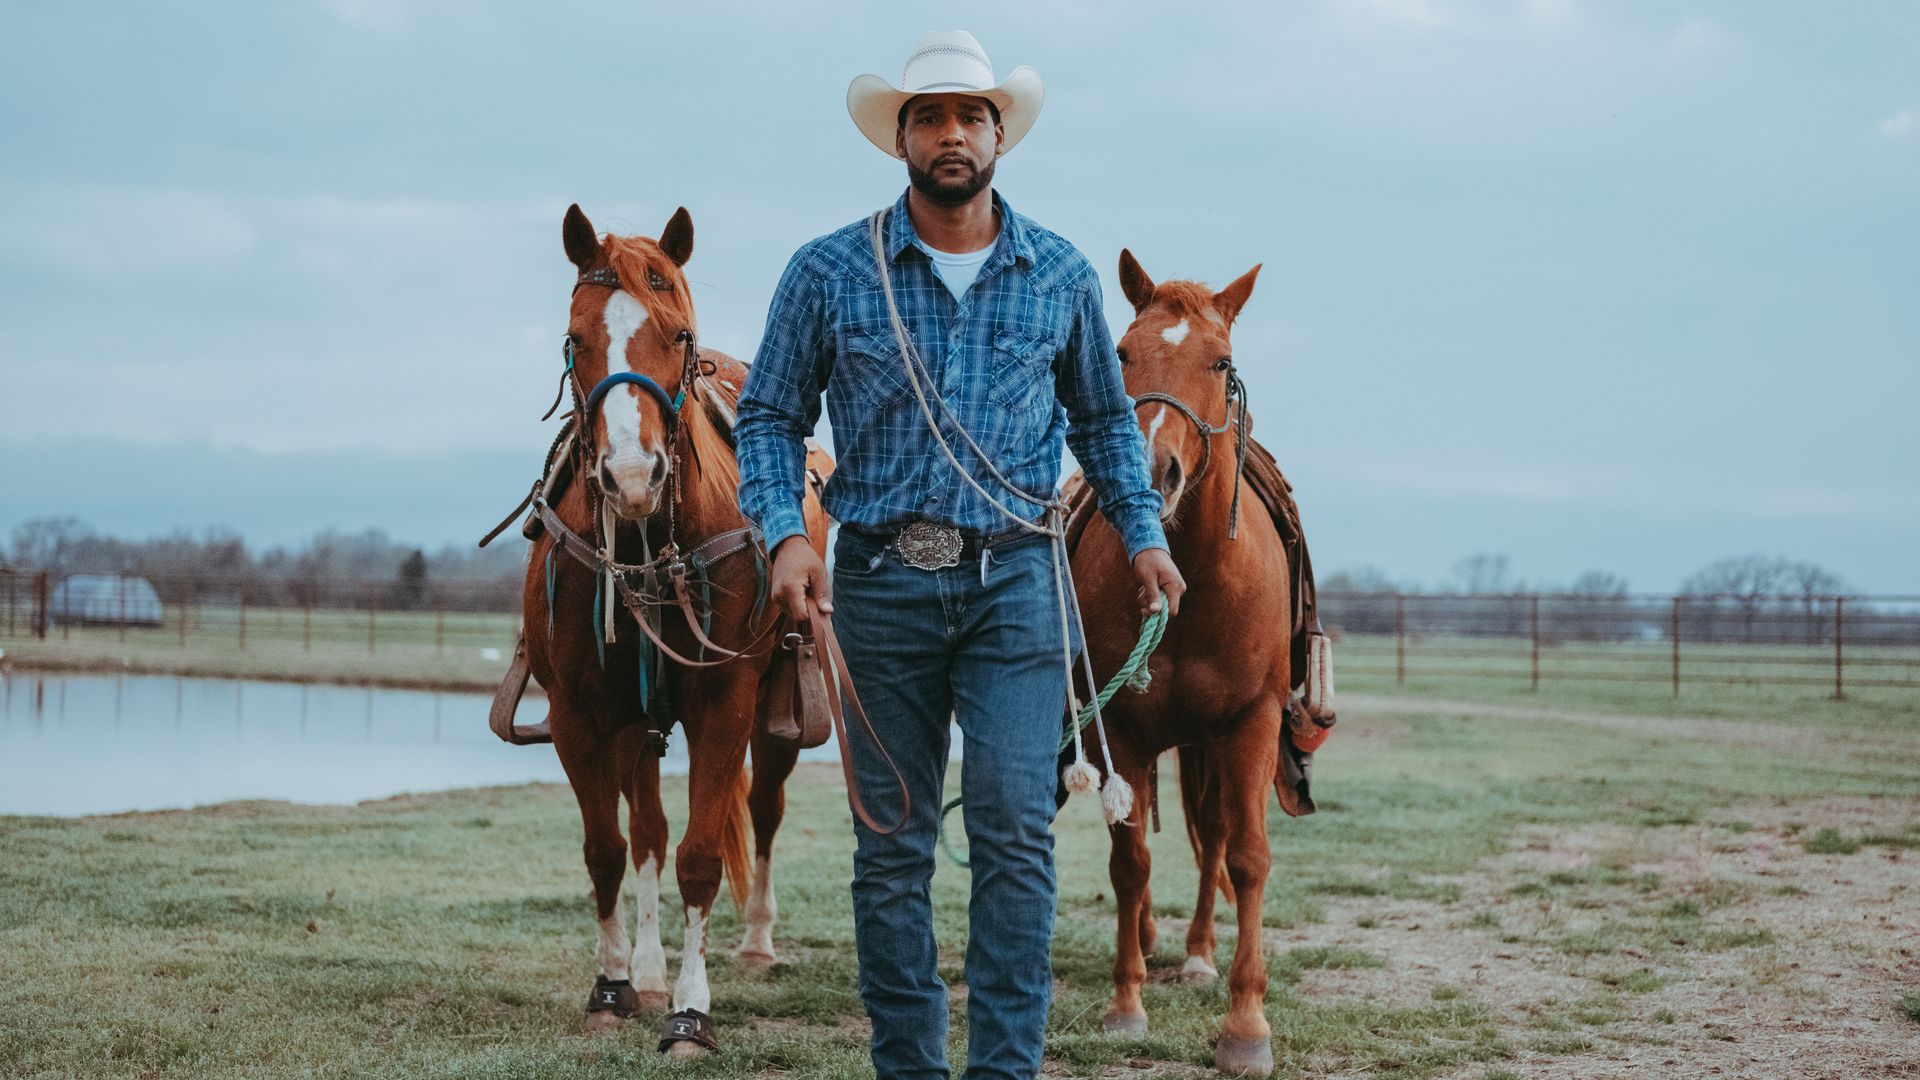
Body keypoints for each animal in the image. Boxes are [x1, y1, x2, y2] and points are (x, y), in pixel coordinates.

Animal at [522, 201, 829, 1053]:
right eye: (576, 336)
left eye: (678, 333)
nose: (633, 475)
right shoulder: (581, 715)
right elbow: (609, 850)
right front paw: (614, 985)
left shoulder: (725, 704)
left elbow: (700, 856)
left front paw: (692, 1011)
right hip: (638, 721)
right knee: (650, 833)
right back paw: (651, 967)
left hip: (776, 706)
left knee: (762, 812)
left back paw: (754, 941)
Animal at [1067, 253, 1290, 1076]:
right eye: (1122, 353)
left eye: (1220, 362)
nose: (1154, 470)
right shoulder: (1125, 730)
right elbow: (1129, 862)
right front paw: (1125, 1003)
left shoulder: (1251, 723)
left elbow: (1248, 857)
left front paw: (1246, 1024)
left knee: (1216, 838)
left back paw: (1197, 955)